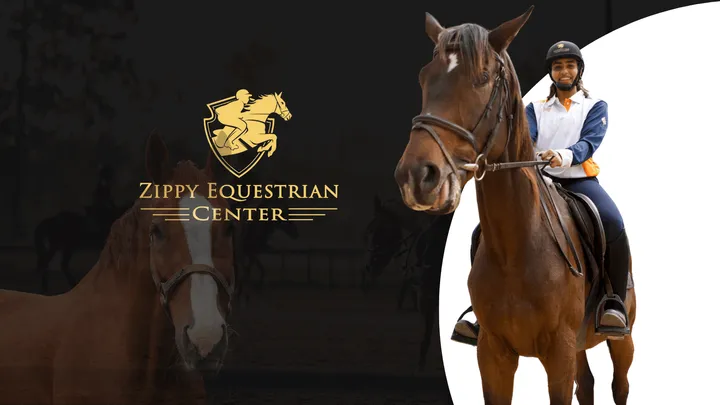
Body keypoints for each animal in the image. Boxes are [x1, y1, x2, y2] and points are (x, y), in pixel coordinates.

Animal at [394, 9, 636, 404]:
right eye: (424, 77)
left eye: (483, 78)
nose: (417, 176)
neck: (516, 248)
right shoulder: (493, 354)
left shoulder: (559, 354)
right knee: (587, 384)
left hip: (621, 340)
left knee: (620, 385)